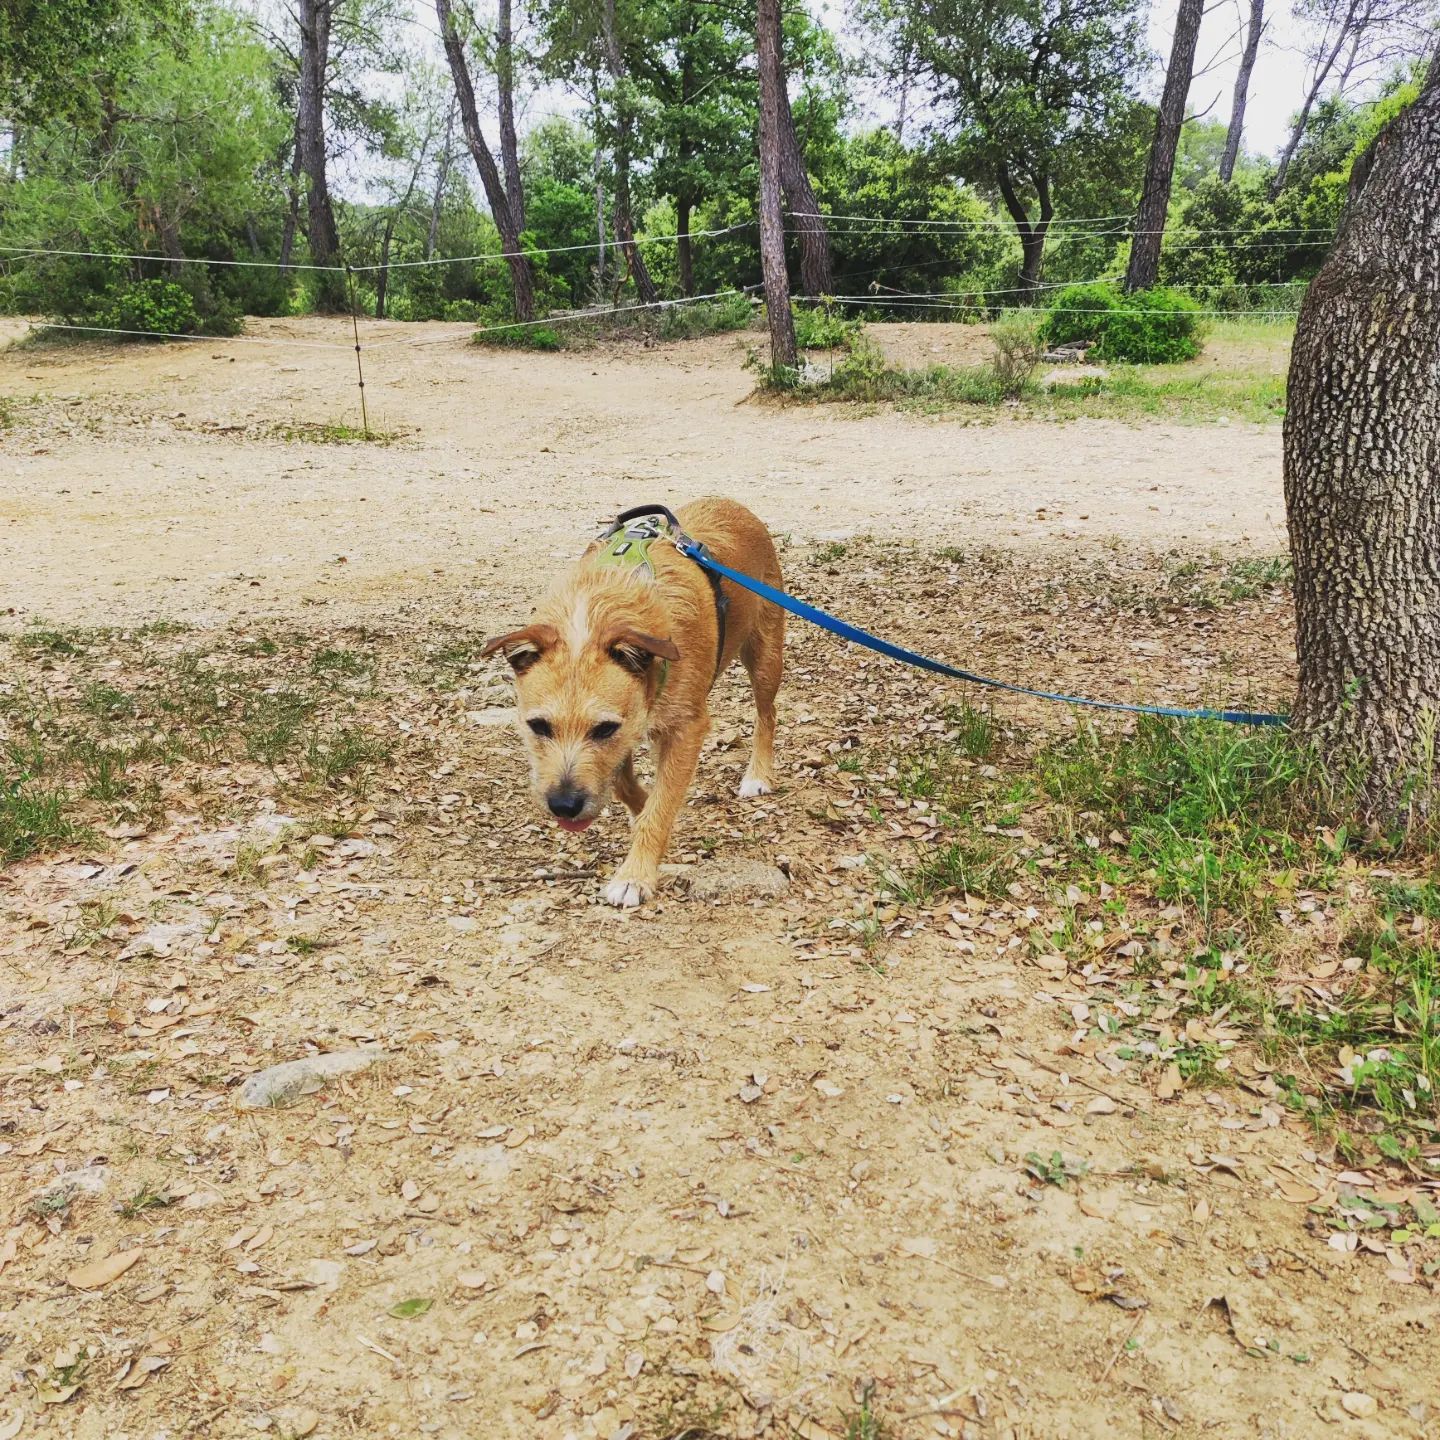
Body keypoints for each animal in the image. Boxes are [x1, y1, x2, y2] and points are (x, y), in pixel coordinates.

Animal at [483, 495, 783, 898]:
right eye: (538, 726)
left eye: (603, 729)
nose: (564, 806)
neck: (594, 618)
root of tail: (729, 502)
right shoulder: (631, 726)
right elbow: (630, 787)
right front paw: (642, 810)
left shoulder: (684, 729)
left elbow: (660, 807)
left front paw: (634, 875)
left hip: (765, 658)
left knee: (766, 714)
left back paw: (758, 774)